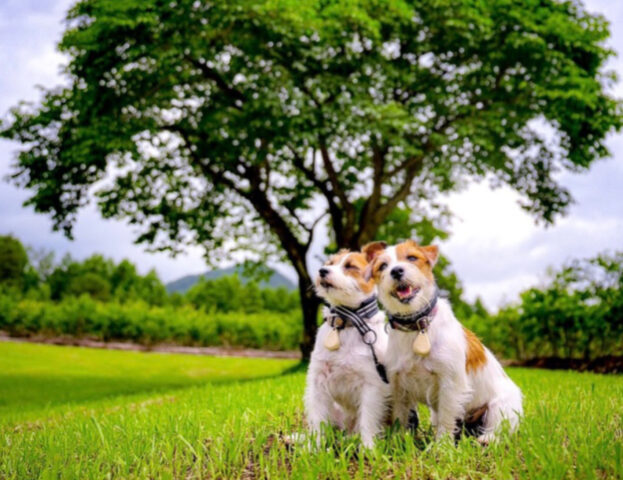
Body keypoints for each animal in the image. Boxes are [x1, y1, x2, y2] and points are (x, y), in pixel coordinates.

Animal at [306, 249, 392, 448]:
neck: (346, 323)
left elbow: (367, 420)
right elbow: (317, 419)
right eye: (329, 263)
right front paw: (313, 448)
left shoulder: (371, 386)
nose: (322, 271)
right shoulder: (318, 381)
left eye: (351, 266)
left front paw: (368, 448)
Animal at [364, 239, 524, 442]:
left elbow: (447, 420)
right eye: (383, 266)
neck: (416, 326)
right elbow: (401, 417)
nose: (396, 271)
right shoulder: (398, 385)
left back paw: (487, 440)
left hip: (501, 406)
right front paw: (399, 442)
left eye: (412, 258)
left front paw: (442, 445)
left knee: (498, 427)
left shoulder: (450, 385)